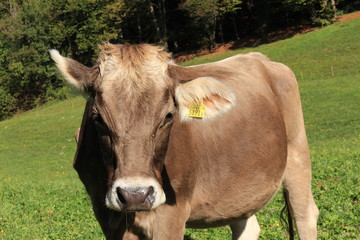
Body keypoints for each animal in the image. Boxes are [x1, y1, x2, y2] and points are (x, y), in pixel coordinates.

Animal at [50, 42, 318, 239]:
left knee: (305, 215)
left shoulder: (171, 215)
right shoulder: (106, 215)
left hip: (297, 153)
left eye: (169, 116)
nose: (135, 194)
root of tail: (258, 57)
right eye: (98, 118)